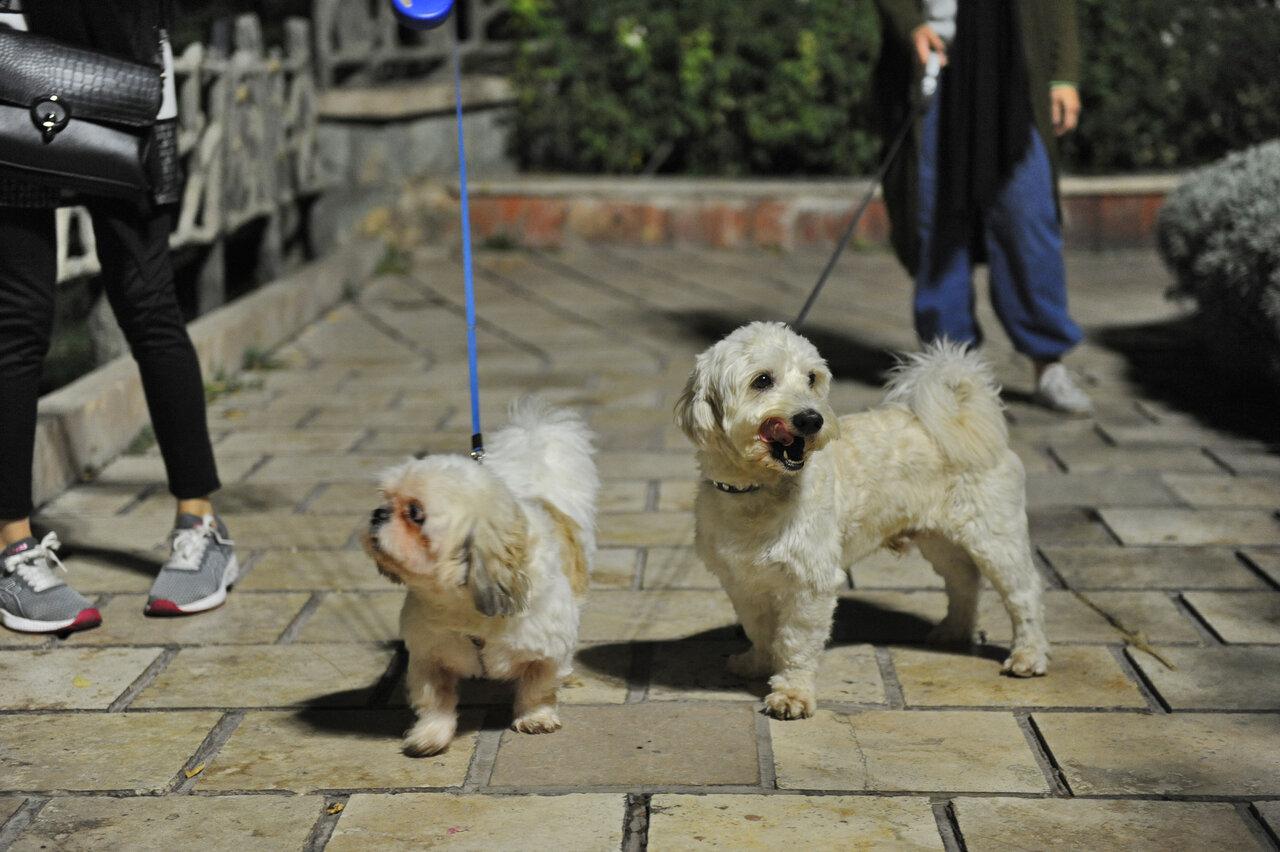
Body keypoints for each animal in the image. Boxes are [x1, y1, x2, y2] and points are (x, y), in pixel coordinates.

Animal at [363, 399, 596, 752]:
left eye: (415, 514)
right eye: (385, 499)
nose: (378, 514)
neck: (466, 605)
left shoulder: (545, 650)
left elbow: (537, 688)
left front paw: (535, 717)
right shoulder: (430, 656)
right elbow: (435, 702)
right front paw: (430, 734)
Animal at [675, 319, 1044, 716]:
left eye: (812, 378)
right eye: (762, 380)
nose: (812, 419)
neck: (757, 490)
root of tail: (968, 419)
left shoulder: (811, 583)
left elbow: (795, 642)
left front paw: (792, 694)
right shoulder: (743, 581)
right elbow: (759, 630)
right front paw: (758, 663)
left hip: (995, 537)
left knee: (1023, 594)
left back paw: (1028, 656)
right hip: (939, 540)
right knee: (964, 581)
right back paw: (954, 632)